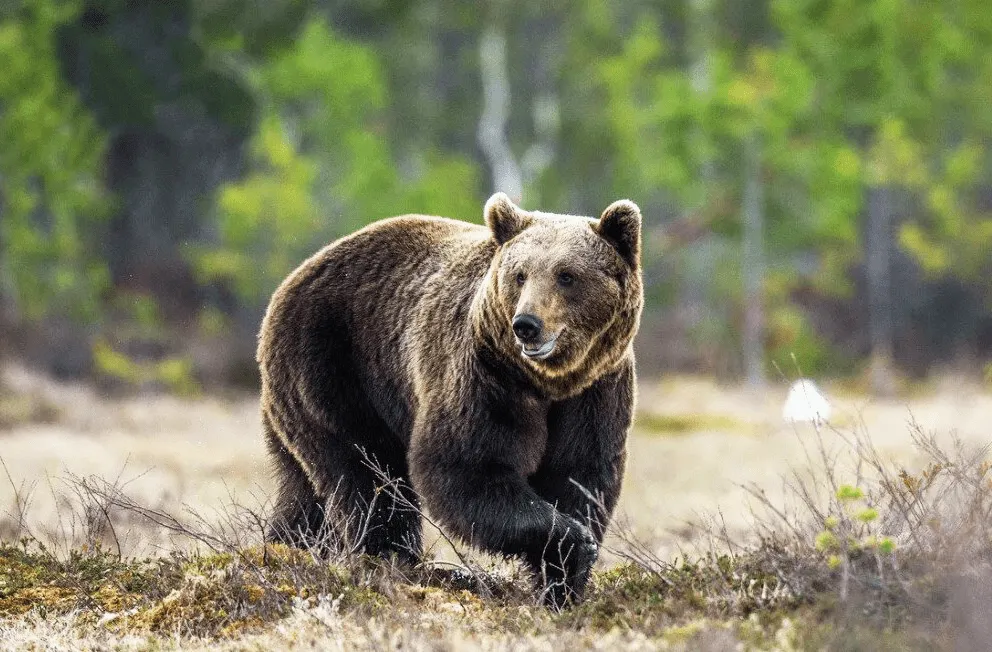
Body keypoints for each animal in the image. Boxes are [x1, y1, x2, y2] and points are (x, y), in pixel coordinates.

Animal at [256, 192, 644, 608]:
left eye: (566, 275)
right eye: (520, 274)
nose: (526, 324)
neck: (547, 382)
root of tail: (289, 281)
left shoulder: (596, 390)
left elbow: (579, 473)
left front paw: (562, 585)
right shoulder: (485, 375)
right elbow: (466, 465)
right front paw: (573, 544)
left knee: (304, 491)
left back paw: (282, 552)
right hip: (333, 367)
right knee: (369, 478)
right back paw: (393, 562)